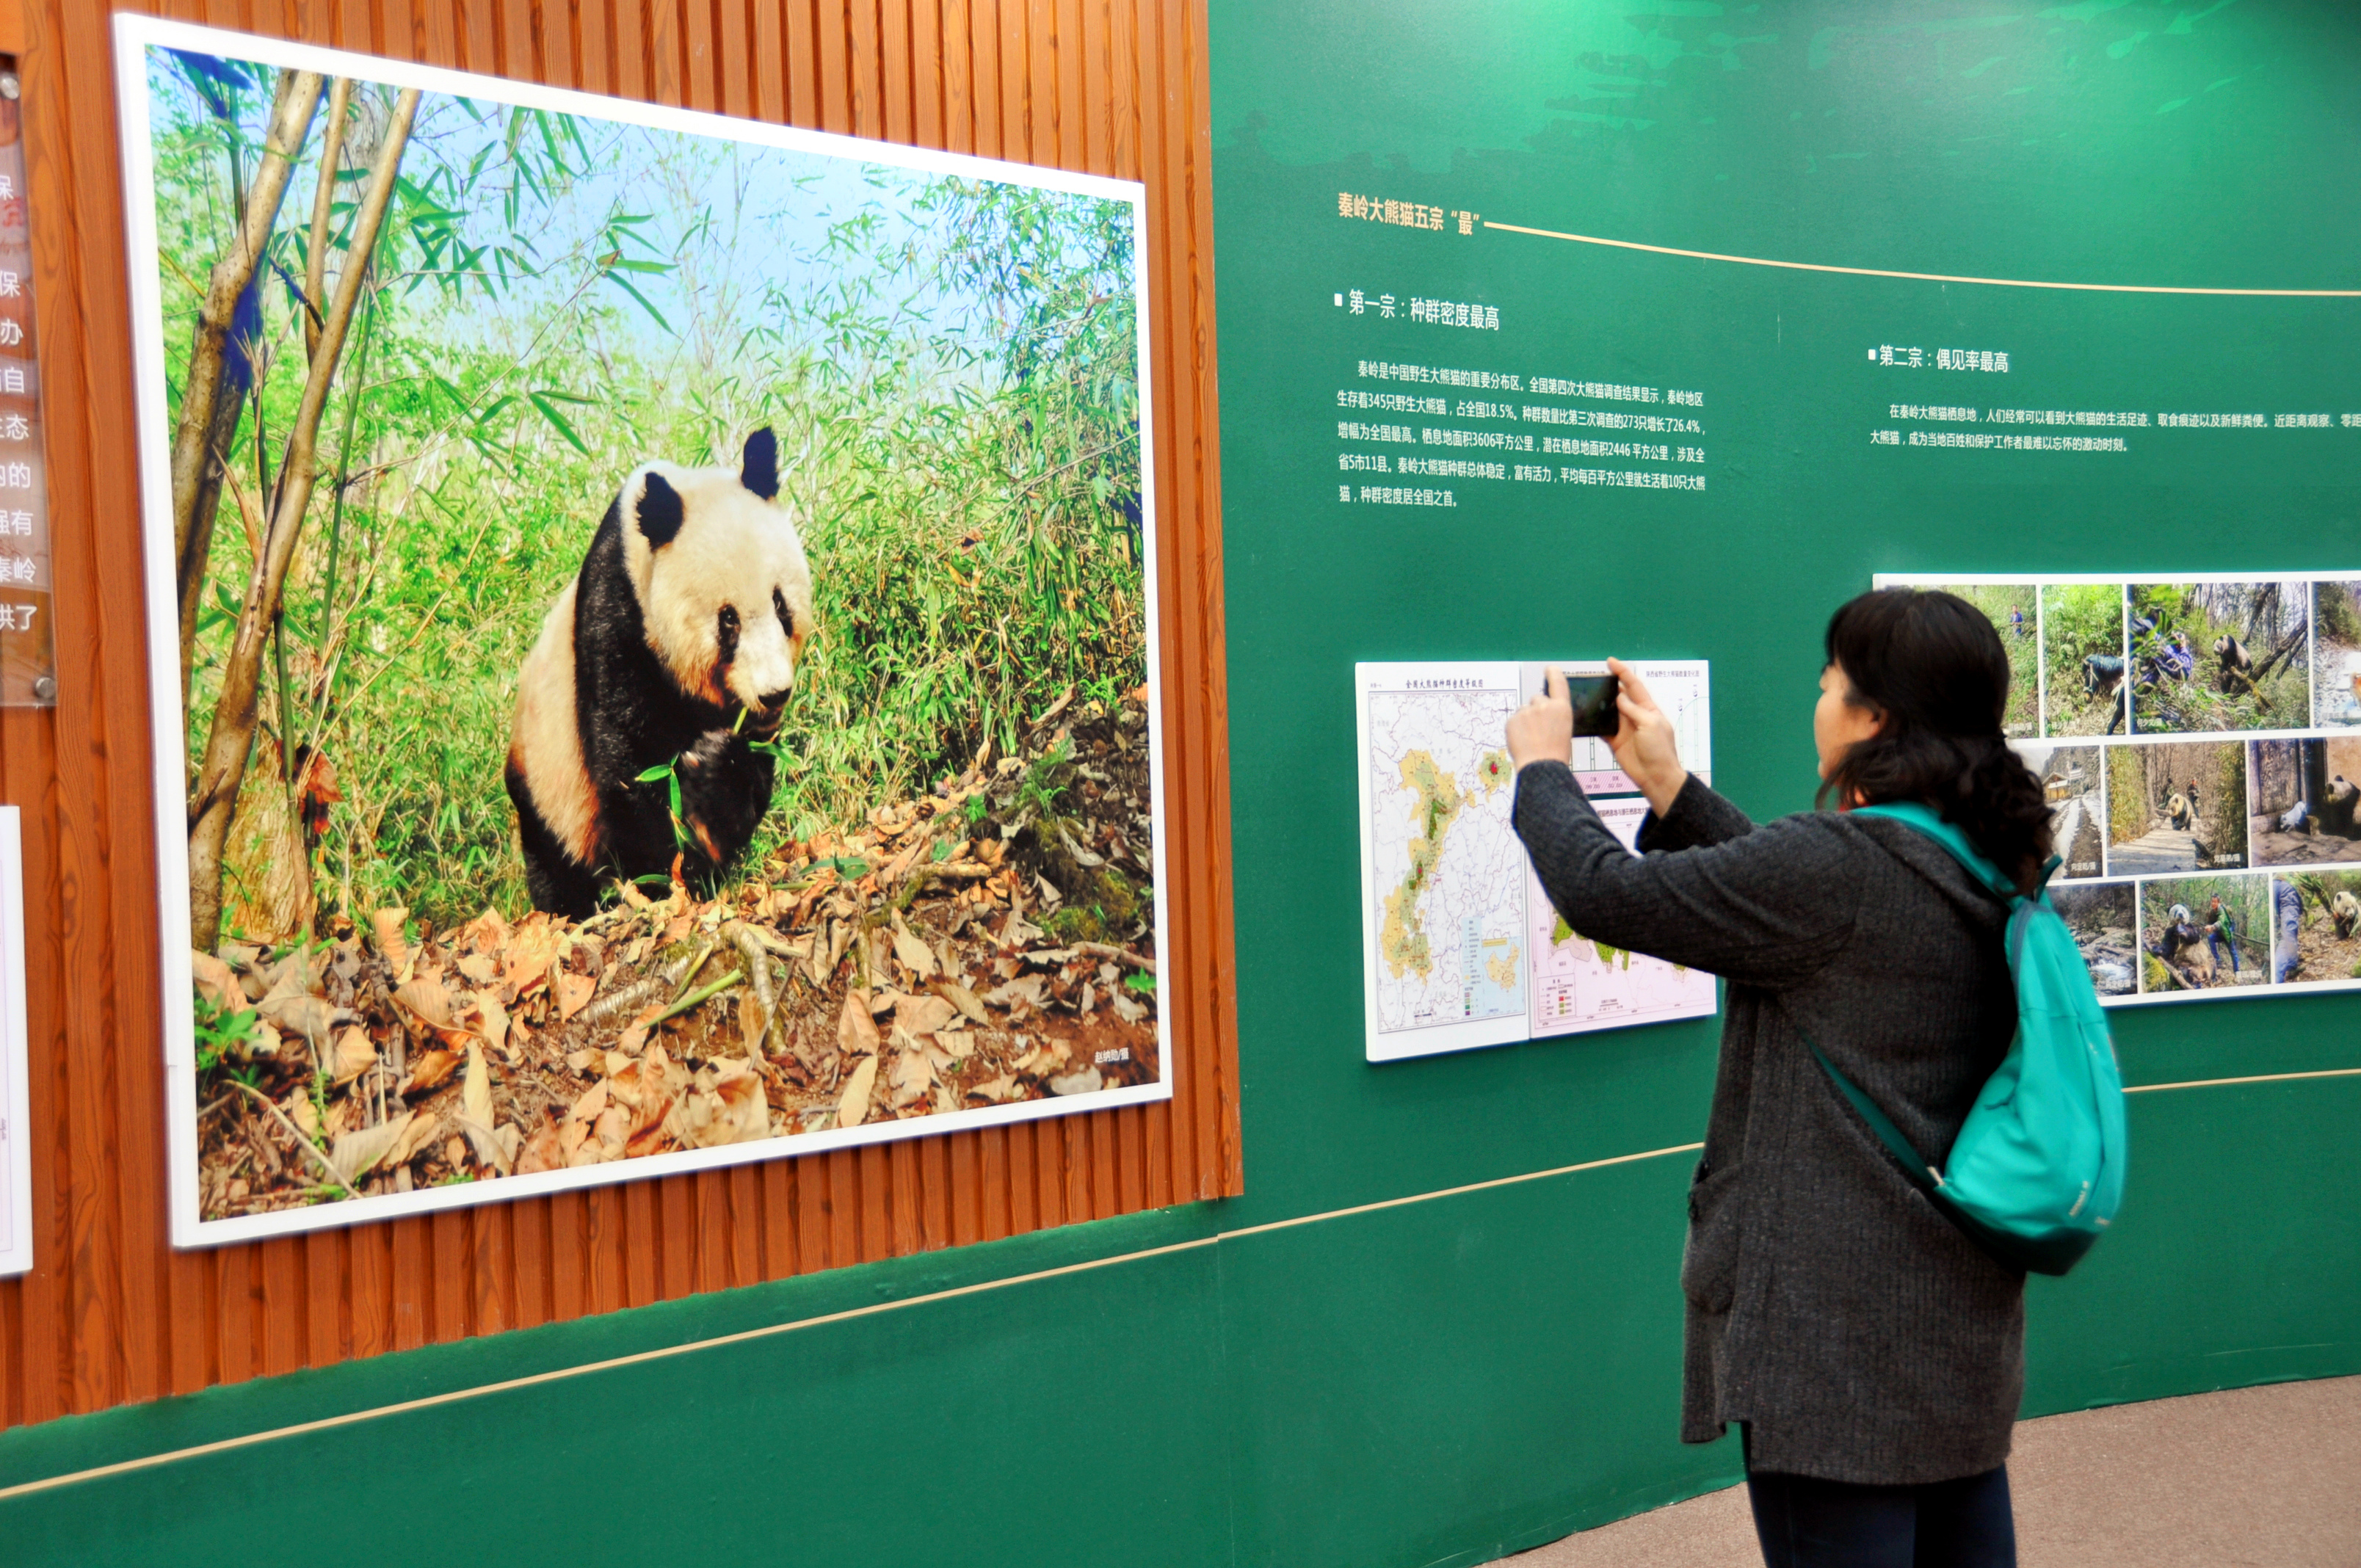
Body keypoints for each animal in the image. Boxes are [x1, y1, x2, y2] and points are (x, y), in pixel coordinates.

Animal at [505, 429, 812, 921]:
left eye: (781, 604)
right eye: (728, 620)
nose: (774, 694)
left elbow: (750, 771)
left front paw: (716, 771)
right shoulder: (619, 617)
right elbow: (632, 768)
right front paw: (670, 877)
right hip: (544, 780)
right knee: (554, 859)